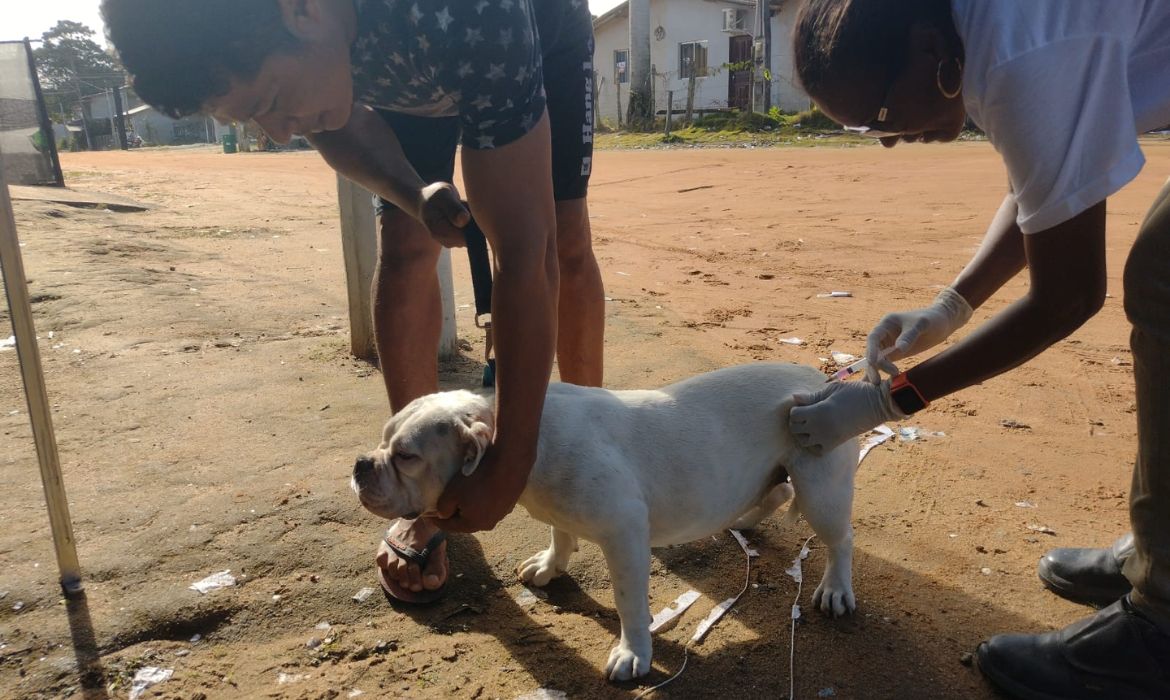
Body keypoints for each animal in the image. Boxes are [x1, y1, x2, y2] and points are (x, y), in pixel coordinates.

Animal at [348, 365, 861, 683]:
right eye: (383, 440)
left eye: (406, 456)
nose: (361, 463)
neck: (524, 442)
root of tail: (821, 380)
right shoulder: (562, 512)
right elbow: (559, 534)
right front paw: (549, 566)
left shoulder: (625, 532)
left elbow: (628, 602)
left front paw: (633, 653)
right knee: (777, 491)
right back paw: (747, 518)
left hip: (821, 487)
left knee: (840, 539)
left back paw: (835, 588)